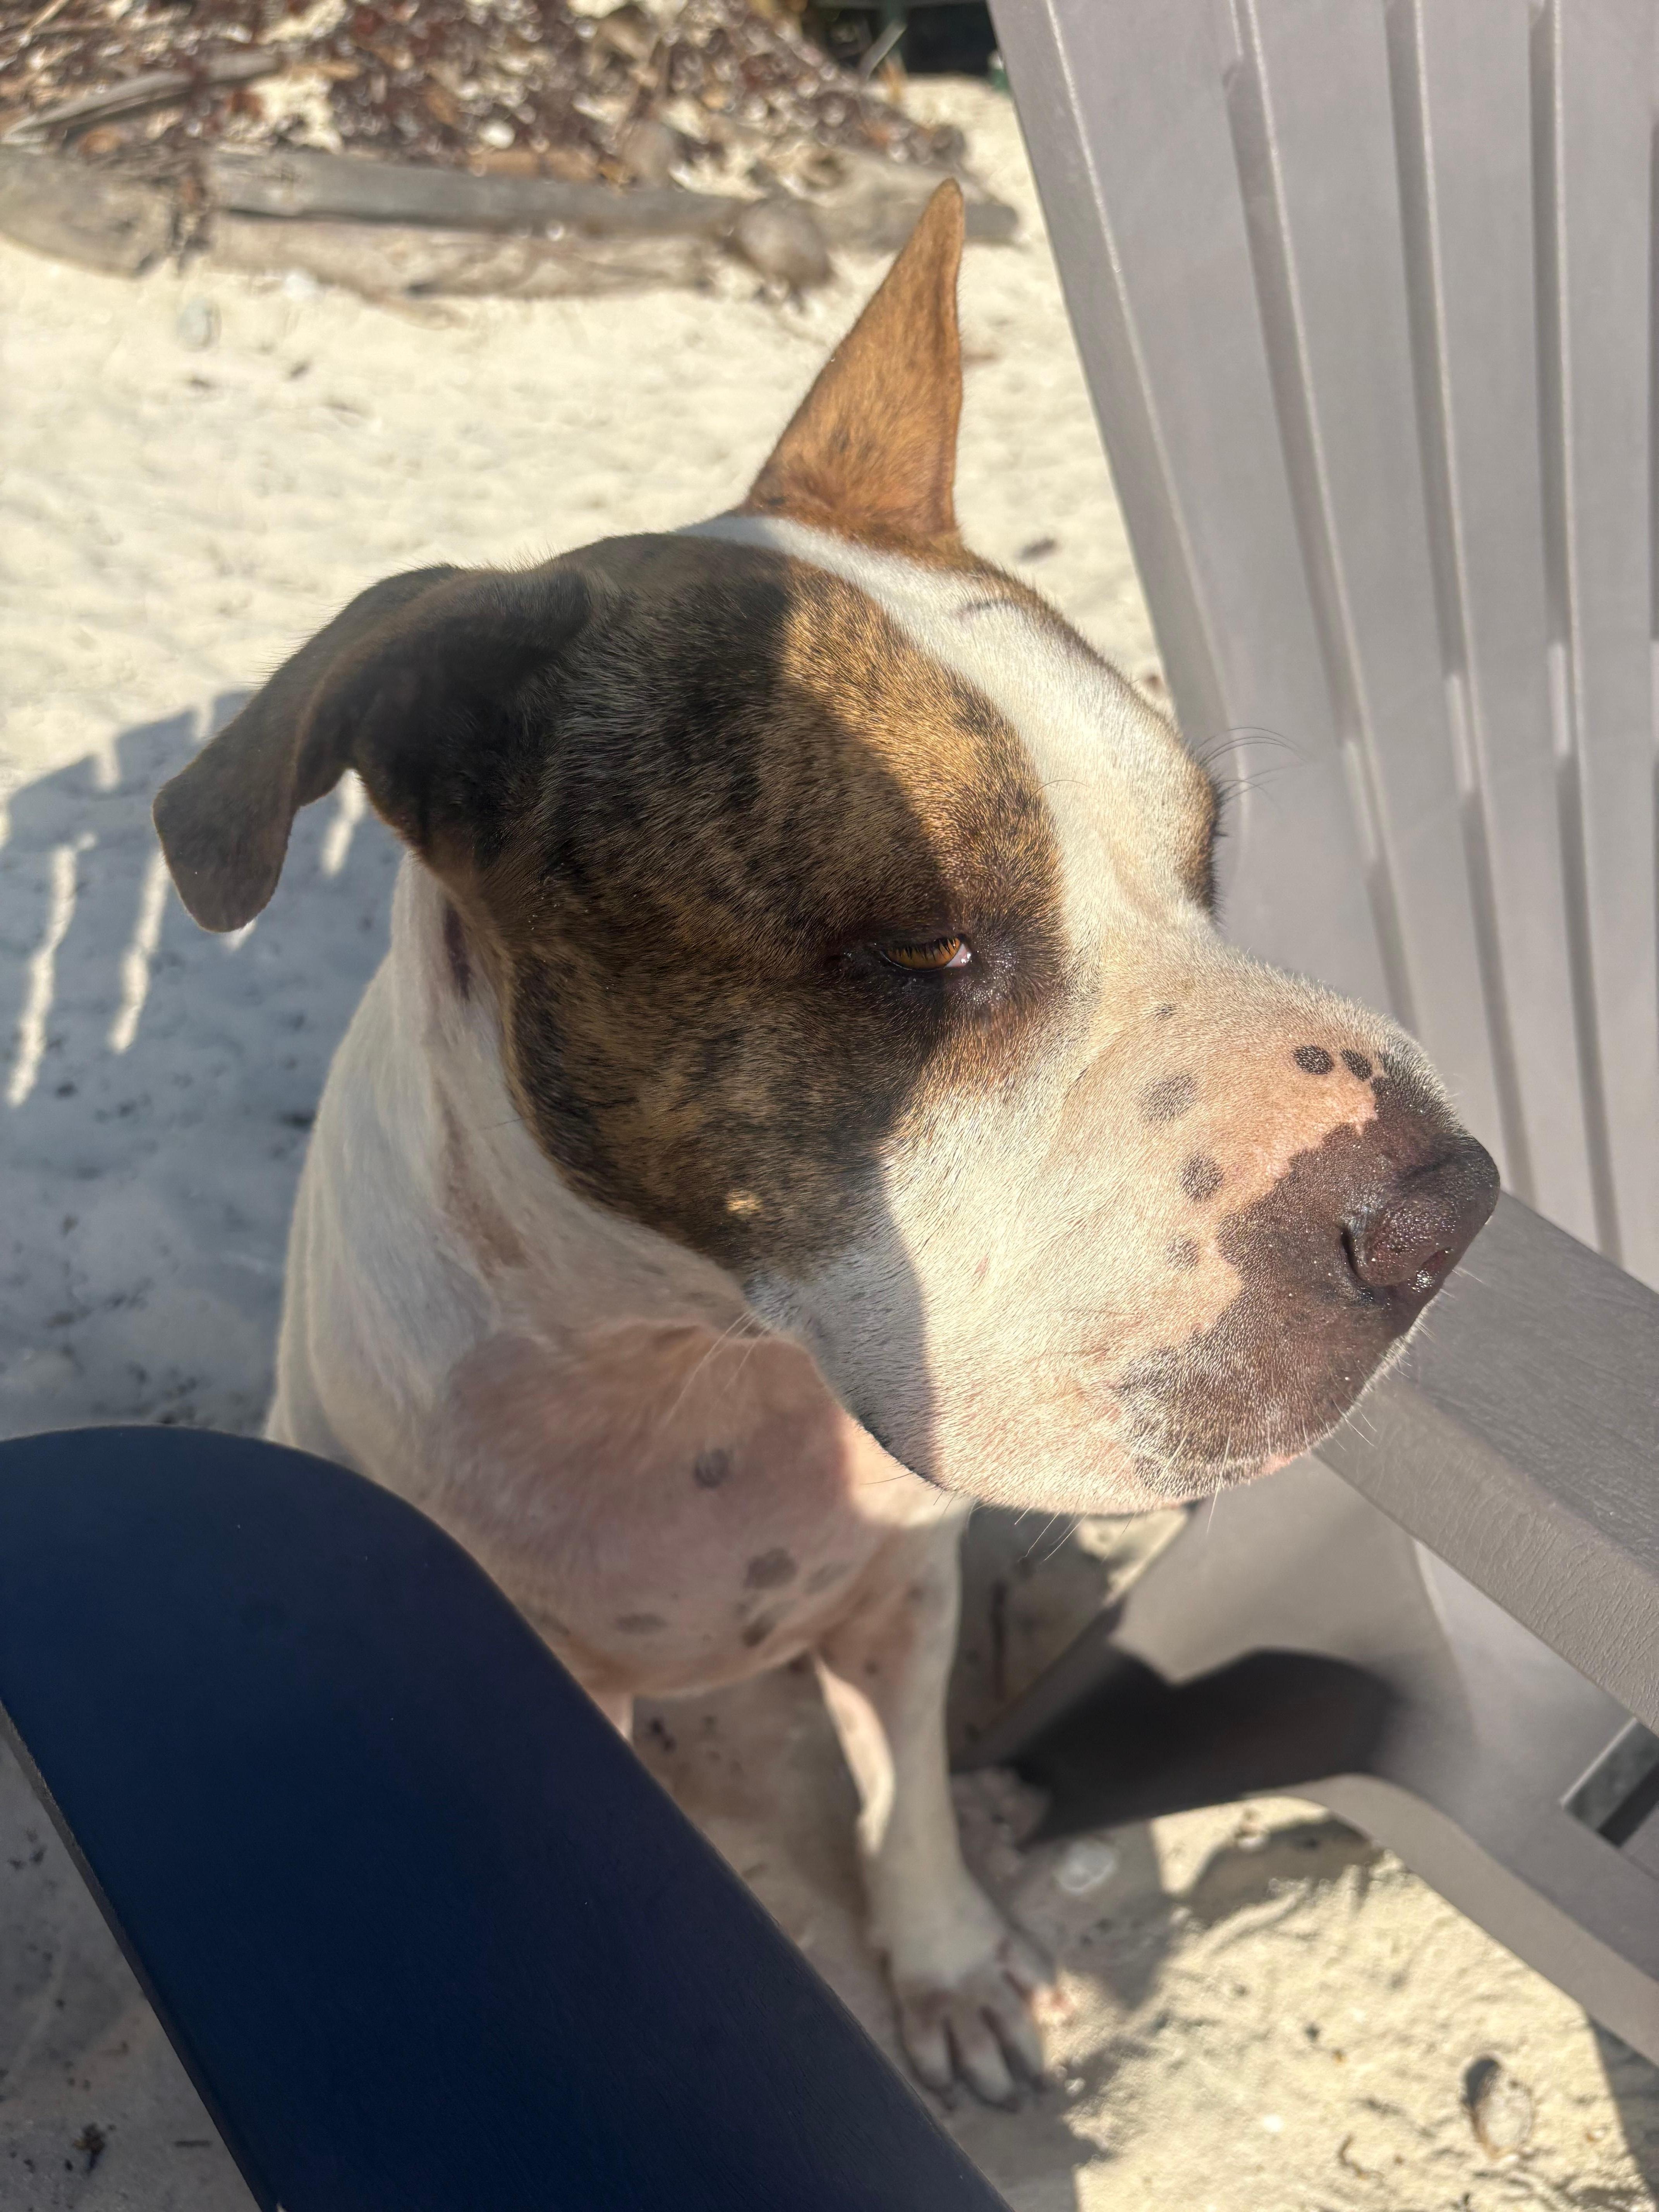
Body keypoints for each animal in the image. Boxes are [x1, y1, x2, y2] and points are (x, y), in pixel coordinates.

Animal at [154, 183, 1498, 2106]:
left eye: (1205, 857)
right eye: (922, 952)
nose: (1445, 1207)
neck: (694, 1367)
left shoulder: (903, 1592)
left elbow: (909, 1799)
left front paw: (946, 1965)